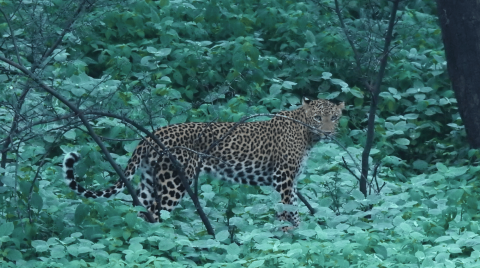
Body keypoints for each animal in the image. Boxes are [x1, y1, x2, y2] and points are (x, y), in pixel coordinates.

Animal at [62, 98, 344, 228]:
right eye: (318, 117)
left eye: (335, 117)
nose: (329, 133)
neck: (307, 133)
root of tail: (150, 136)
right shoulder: (283, 178)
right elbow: (288, 210)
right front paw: (292, 234)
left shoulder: (290, 181)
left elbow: (291, 209)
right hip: (173, 183)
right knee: (158, 213)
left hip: (149, 182)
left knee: (141, 213)